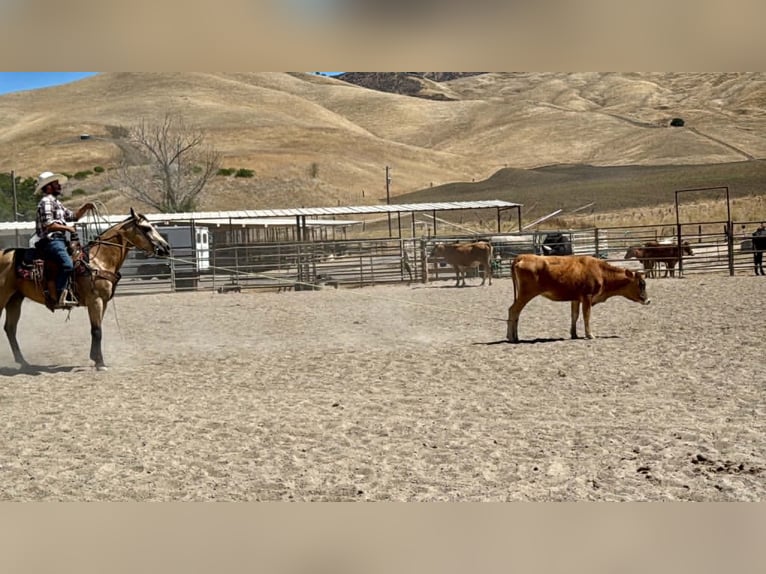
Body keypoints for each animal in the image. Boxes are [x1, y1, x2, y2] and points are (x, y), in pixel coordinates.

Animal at [0, 208, 171, 371]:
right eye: (146, 228)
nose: (166, 247)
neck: (99, 260)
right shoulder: (95, 300)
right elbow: (97, 331)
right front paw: (100, 363)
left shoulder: (103, 302)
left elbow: (97, 328)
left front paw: (95, 358)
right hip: (4, 298)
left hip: (15, 299)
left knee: (10, 329)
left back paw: (23, 362)